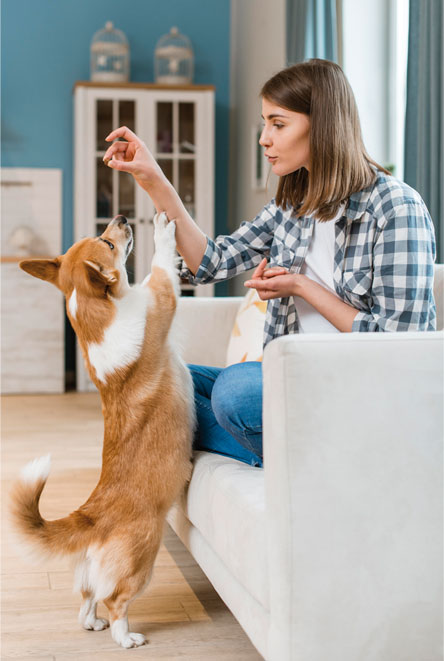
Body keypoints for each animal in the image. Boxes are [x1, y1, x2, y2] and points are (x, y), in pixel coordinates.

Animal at [10, 213, 194, 648]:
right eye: (108, 244)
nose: (123, 217)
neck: (97, 311)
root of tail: (91, 517)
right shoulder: (161, 298)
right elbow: (160, 266)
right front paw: (164, 231)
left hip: (93, 573)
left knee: (87, 596)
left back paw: (92, 623)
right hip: (143, 560)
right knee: (115, 600)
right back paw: (126, 638)